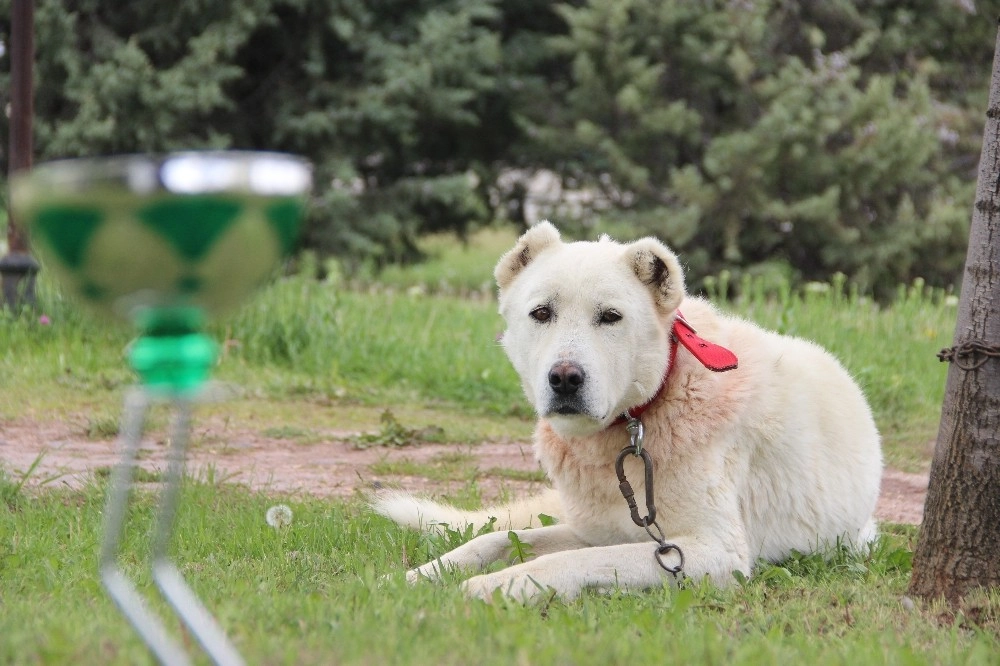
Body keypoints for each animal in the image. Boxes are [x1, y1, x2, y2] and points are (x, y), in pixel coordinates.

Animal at [376, 220, 884, 600]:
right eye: (541, 313)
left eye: (610, 317)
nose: (565, 378)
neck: (637, 422)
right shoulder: (599, 529)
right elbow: (496, 539)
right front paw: (412, 578)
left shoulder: (711, 552)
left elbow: (571, 560)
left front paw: (501, 585)